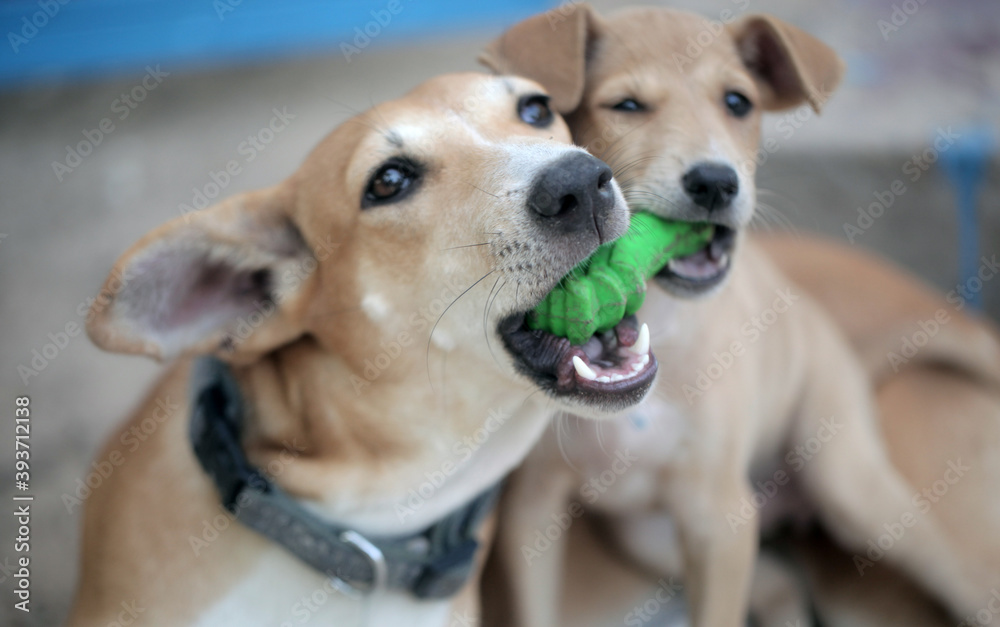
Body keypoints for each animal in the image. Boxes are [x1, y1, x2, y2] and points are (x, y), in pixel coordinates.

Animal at [480, 6, 988, 627]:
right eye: (626, 105)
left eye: (738, 102)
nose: (715, 182)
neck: (658, 319)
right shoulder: (534, 507)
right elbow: (534, 609)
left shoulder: (717, 516)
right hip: (655, 537)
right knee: (779, 587)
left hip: (849, 485)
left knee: (965, 577)